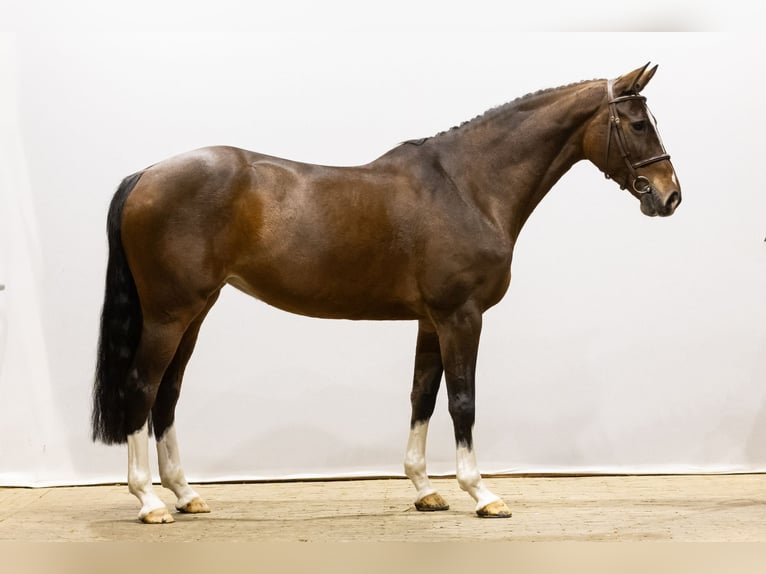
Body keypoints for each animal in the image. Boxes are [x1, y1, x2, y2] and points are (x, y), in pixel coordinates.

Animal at [91, 64, 684, 528]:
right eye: (637, 124)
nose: (670, 196)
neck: (469, 187)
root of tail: (146, 174)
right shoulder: (461, 317)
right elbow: (462, 401)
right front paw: (482, 493)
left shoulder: (430, 321)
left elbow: (422, 396)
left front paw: (426, 490)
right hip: (169, 315)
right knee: (142, 388)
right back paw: (148, 502)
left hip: (194, 313)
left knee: (167, 395)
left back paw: (186, 495)